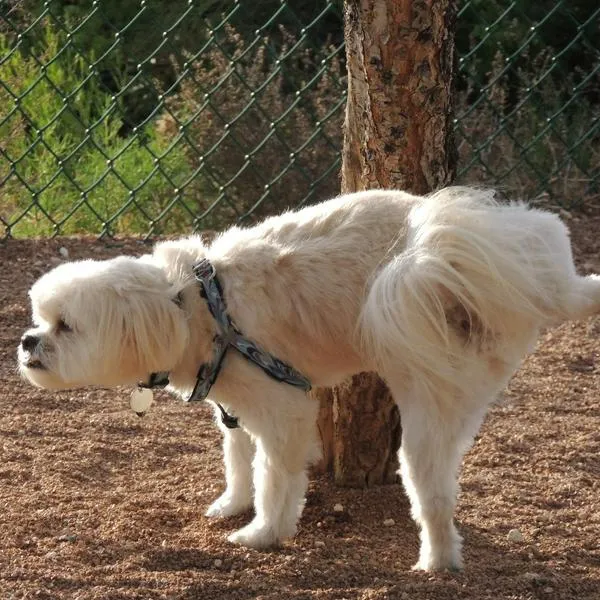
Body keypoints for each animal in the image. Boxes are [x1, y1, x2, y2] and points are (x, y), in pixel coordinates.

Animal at [16, 188, 596, 572]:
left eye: (65, 326)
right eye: (40, 317)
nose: (26, 341)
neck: (192, 305)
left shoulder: (283, 414)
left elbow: (273, 478)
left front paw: (261, 533)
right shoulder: (235, 407)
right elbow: (238, 460)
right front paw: (231, 504)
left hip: (425, 410)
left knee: (433, 497)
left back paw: (436, 562)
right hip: (538, 271)